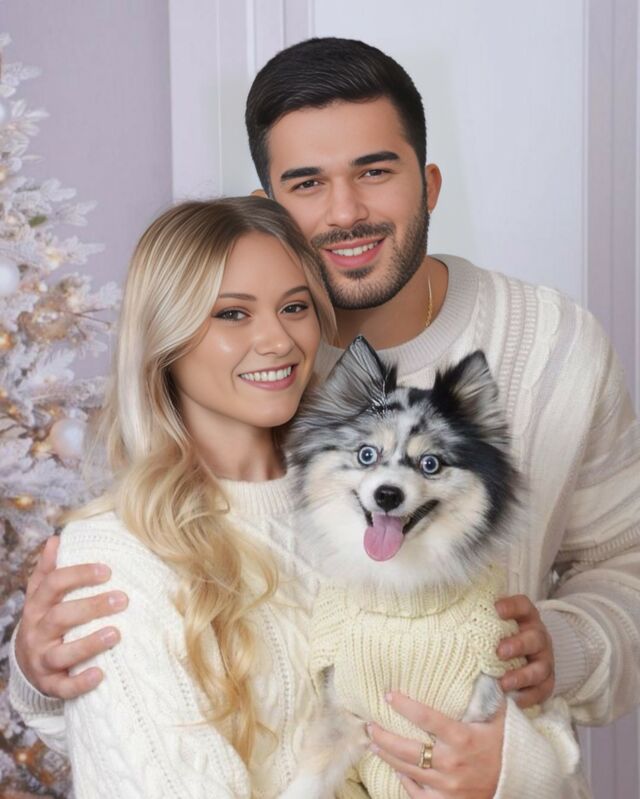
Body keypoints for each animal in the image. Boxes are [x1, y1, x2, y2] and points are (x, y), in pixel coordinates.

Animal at [280, 336, 526, 799]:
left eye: (430, 463)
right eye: (366, 455)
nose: (388, 495)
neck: (402, 600)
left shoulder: (472, 715)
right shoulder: (343, 708)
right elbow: (309, 778)